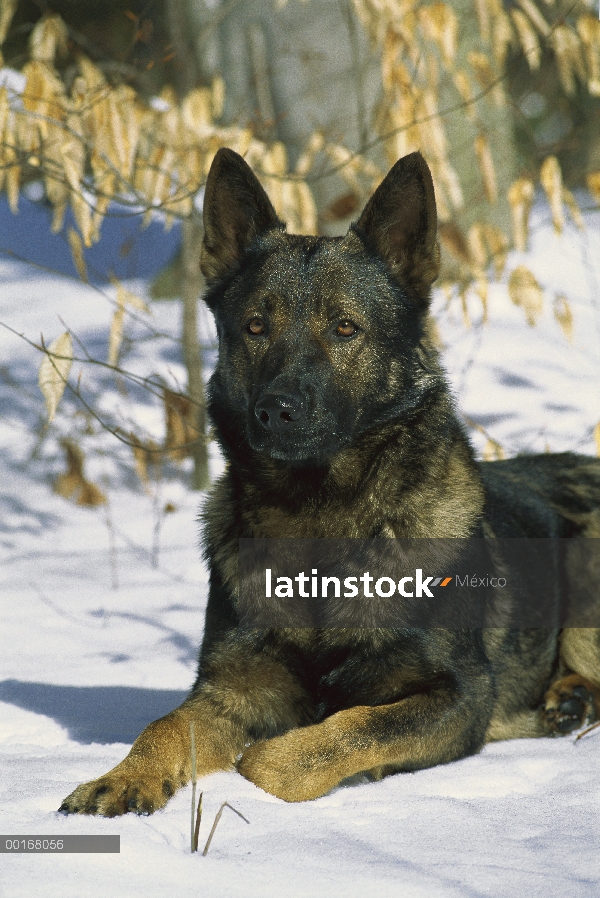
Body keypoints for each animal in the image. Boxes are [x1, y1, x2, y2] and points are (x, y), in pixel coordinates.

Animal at [59, 147, 600, 812]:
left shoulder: (459, 696)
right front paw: (122, 777)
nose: (276, 410)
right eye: (255, 327)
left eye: (345, 328)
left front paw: (283, 759)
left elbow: (329, 736)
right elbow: (164, 725)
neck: (318, 518)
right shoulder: (229, 688)